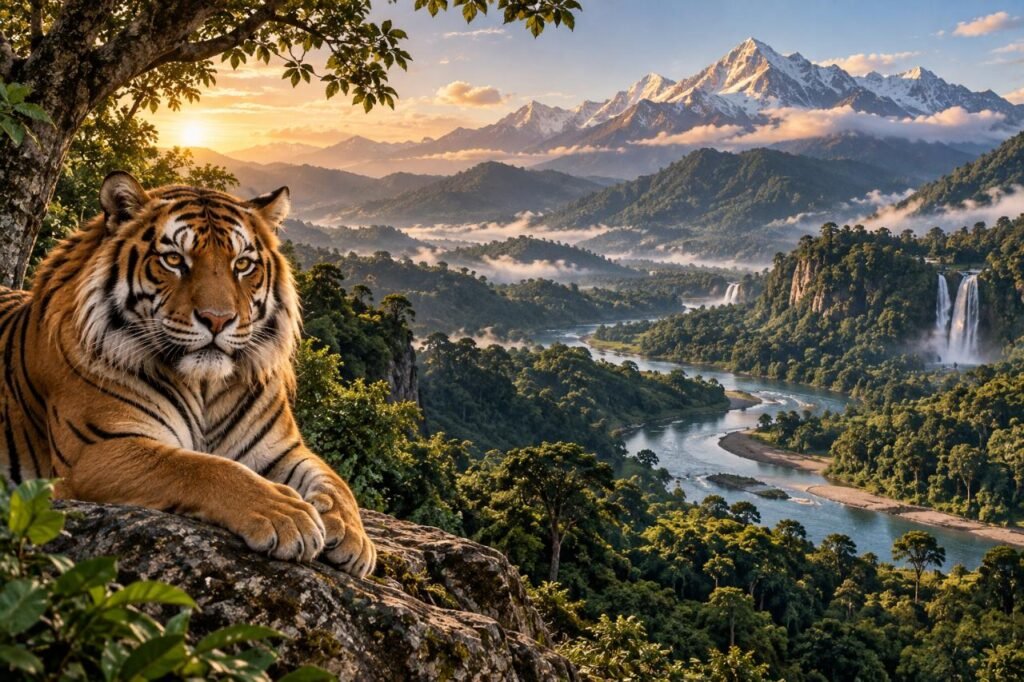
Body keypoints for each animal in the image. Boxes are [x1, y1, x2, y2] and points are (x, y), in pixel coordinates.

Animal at [0, 171, 375, 577]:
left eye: (242, 264)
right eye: (174, 260)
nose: (218, 319)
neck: (205, 386)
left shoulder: (281, 451)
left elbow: (335, 481)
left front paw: (354, 537)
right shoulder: (96, 449)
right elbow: (199, 467)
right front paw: (286, 513)